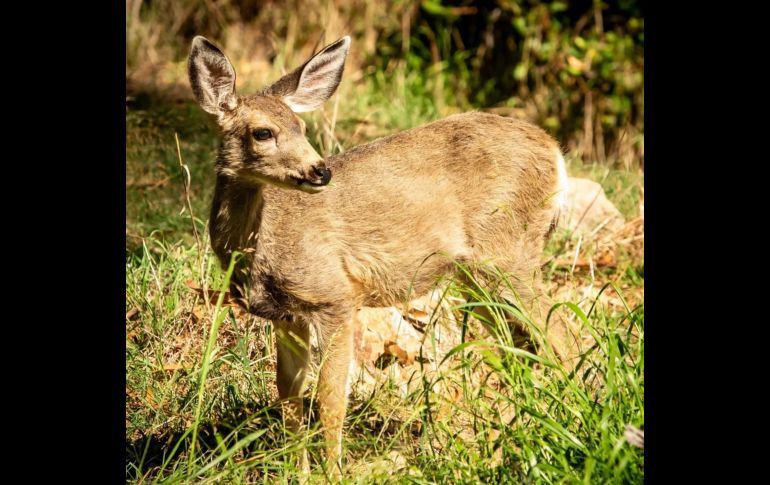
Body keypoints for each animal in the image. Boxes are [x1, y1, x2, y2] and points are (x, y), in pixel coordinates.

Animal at [188, 34, 580, 479]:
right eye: (263, 132)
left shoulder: (335, 296)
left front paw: (333, 473)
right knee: (521, 342)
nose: (320, 170)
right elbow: (288, 393)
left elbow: (330, 396)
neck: (262, 246)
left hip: (509, 251)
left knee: (562, 335)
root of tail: (556, 154)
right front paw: (297, 471)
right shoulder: (285, 315)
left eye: (302, 127)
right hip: (476, 274)